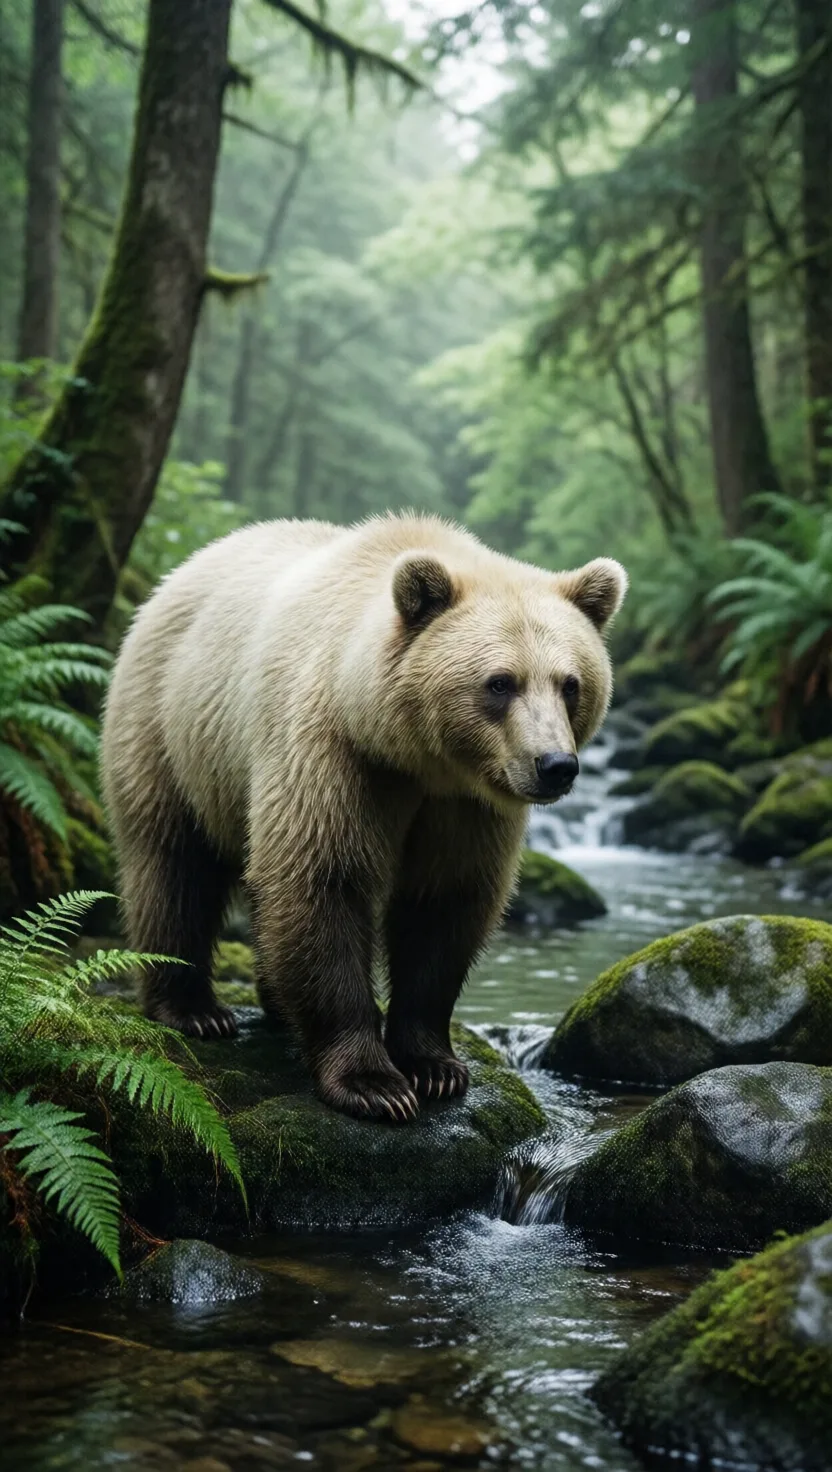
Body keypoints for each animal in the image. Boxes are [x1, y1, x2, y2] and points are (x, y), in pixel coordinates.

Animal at [101, 514, 627, 1122]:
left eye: (570, 683)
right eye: (500, 682)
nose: (555, 765)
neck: (413, 755)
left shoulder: (465, 806)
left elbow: (444, 903)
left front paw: (434, 1066)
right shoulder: (333, 751)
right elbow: (323, 881)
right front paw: (373, 1083)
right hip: (172, 727)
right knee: (174, 863)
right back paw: (192, 1008)